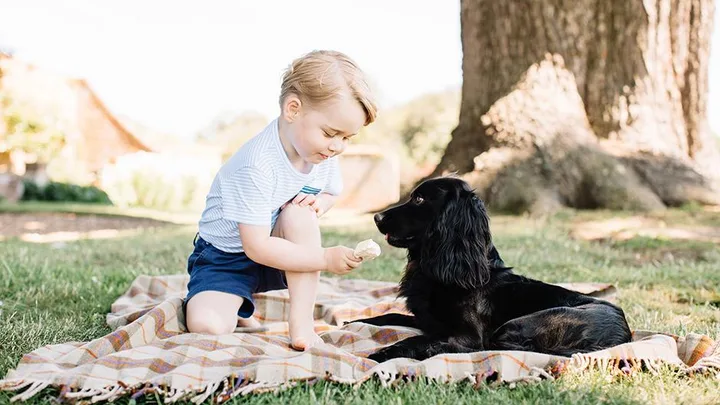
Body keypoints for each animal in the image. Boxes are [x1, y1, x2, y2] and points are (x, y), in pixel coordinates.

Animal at [352, 177, 632, 360]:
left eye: (419, 199)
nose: (376, 217)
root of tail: (624, 336)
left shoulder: (468, 335)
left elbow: (419, 339)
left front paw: (381, 354)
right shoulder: (427, 320)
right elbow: (387, 316)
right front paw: (353, 321)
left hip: (518, 325)